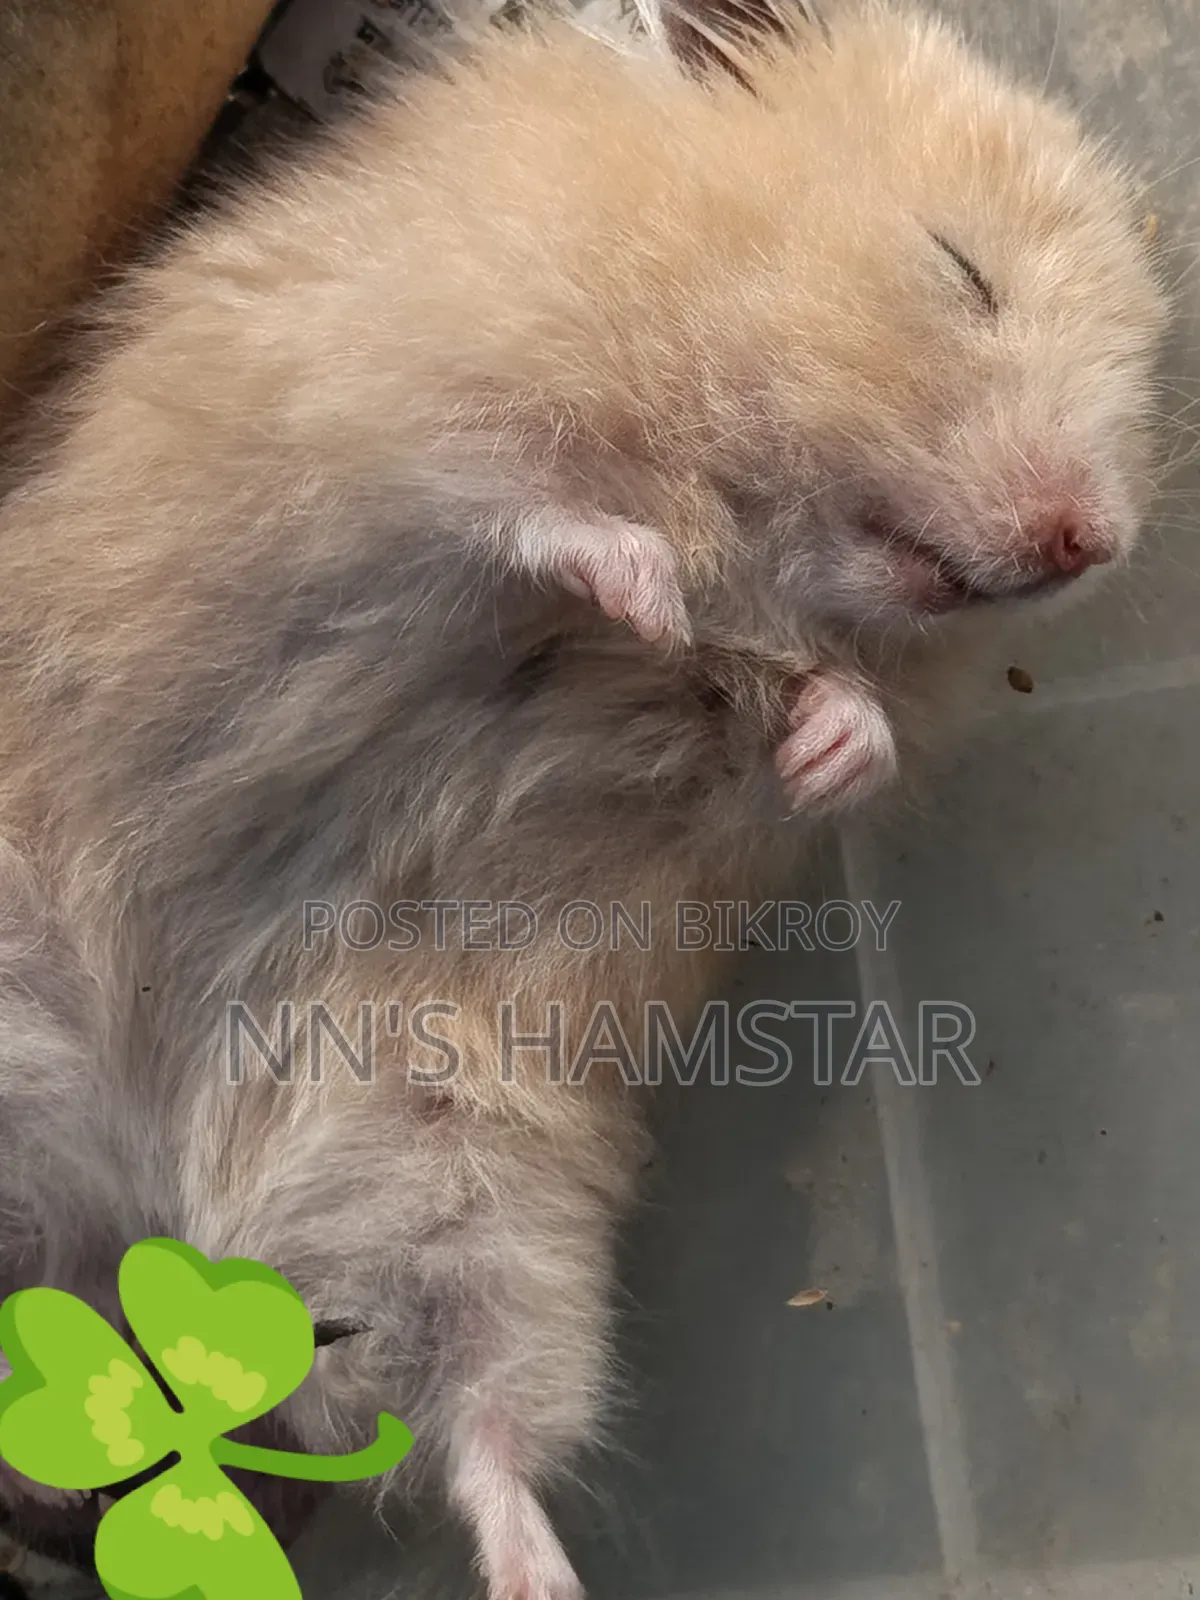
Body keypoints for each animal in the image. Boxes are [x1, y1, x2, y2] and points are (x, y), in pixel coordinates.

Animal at [0, 0, 1165, 1595]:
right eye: (959, 268)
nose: (1090, 542)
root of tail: (148, 1189)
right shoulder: (385, 402)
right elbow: (524, 505)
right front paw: (649, 588)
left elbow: (813, 725)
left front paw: (815, 731)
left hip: (460, 1163)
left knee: (481, 1420)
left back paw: (529, 1571)